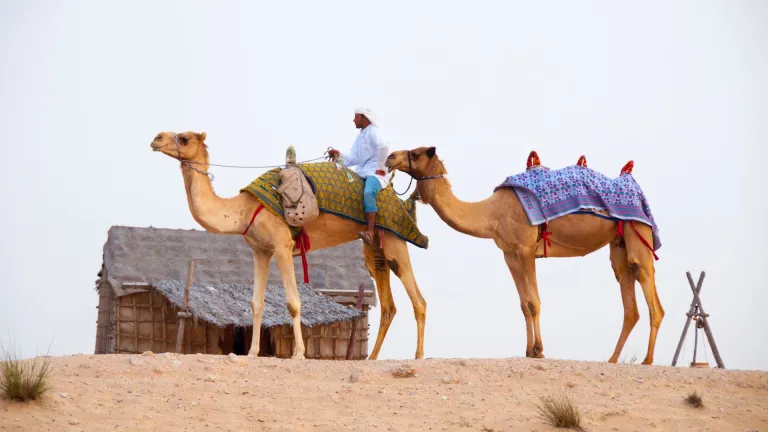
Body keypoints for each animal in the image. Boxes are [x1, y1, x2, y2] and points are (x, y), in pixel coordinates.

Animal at [148, 132, 426, 362]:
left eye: (184, 138)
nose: (156, 138)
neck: (243, 209)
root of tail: (398, 200)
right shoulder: (261, 251)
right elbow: (256, 303)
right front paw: (252, 352)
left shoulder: (282, 245)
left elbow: (293, 303)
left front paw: (299, 353)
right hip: (374, 249)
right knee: (389, 306)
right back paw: (374, 358)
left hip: (395, 241)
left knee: (418, 300)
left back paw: (419, 356)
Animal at [388, 146, 664, 364]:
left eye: (416, 152)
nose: (390, 157)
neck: (492, 213)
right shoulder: (509, 253)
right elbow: (523, 304)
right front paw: (529, 350)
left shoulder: (526, 248)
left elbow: (534, 301)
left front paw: (539, 350)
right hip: (618, 244)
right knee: (629, 299)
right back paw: (613, 359)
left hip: (639, 231)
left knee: (649, 289)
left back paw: (647, 360)